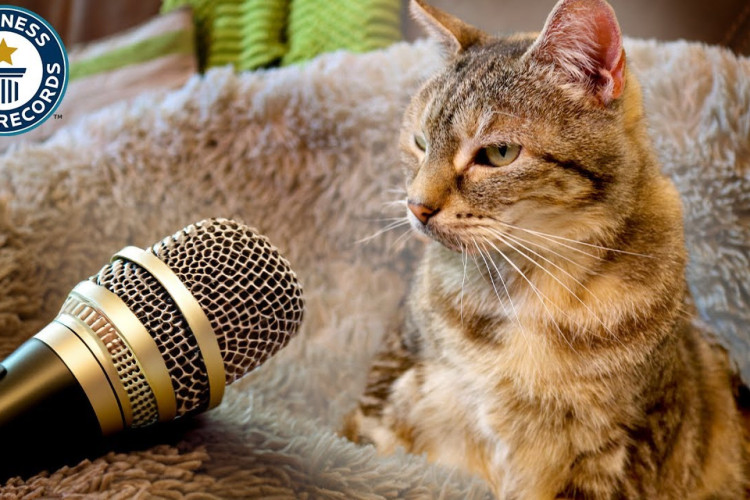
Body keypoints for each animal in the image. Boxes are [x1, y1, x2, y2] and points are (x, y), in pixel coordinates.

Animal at [344, 0, 748, 498]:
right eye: (419, 143)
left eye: (498, 153)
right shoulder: (391, 380)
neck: (529, 284)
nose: (416, 206)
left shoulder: (622, 448)